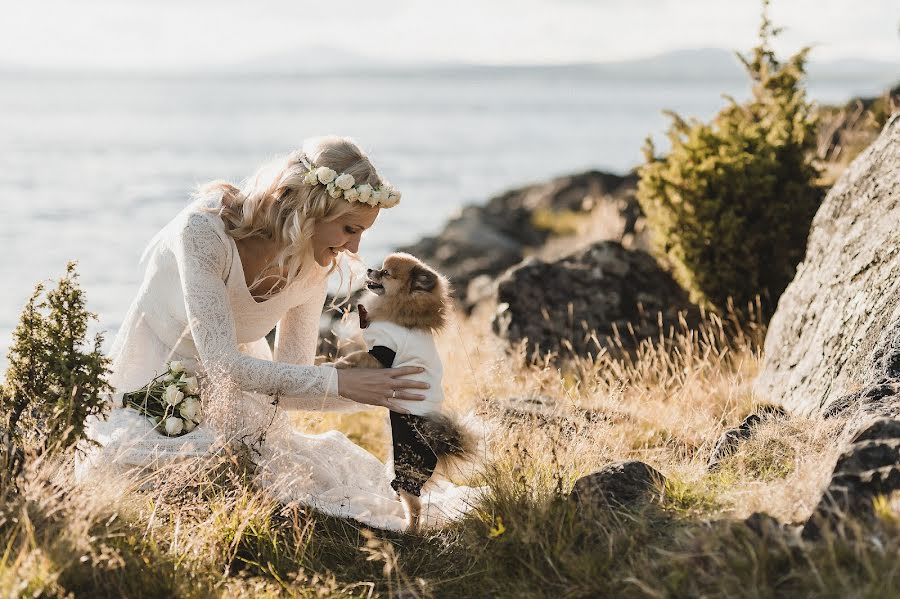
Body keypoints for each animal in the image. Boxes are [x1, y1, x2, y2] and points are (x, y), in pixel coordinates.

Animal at [334, 251, 474, 532]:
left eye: (386, 273)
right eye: (380, 268)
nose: (370, 269)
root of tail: (438, 445)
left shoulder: (382, 353)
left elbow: (357, 355)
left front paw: (339, 363)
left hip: (404, 470)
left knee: (415, 506)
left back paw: (409, 530)